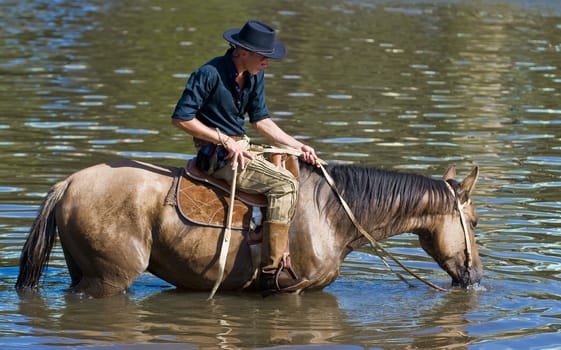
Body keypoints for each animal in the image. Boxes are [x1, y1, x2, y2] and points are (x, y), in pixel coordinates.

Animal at [14, 159, 482, 298]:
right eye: (475, 222)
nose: (475, 275)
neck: (330, 214)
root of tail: (69, 183)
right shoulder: (292, 291)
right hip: (107, 280)